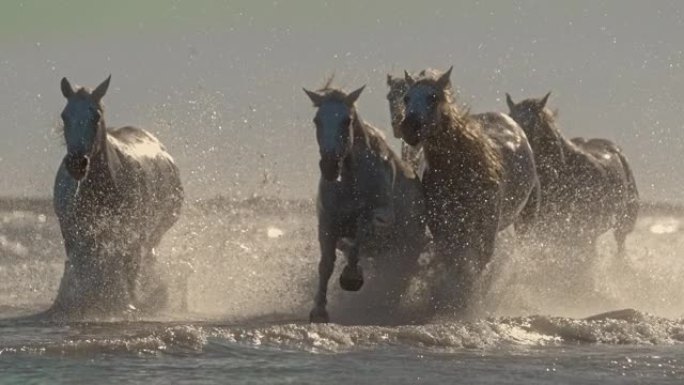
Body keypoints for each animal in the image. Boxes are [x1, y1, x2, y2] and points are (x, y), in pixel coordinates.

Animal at [49, 76, 183, 318]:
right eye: (65, 115)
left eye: (96, 116)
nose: (77, 163)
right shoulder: (74, 234)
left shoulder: (132, 235)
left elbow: (129, 272)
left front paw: (127, 305)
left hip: (153, 234)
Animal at [304, 83, 428, 320]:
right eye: (317, 120)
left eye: (347, 120)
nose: (330, 166)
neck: (352, 181)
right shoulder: (326, 224)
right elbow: (326, 265)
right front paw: (319, 310)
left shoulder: (381, 217)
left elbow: (361, 233)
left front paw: (351, 277)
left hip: (408, 250)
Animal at [396, 67, 540, 308]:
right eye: (407, 98)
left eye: (433, 97)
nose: (409, 127)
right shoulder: (444, 227)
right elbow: (453, 261)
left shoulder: (485, 230)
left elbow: (474, 265)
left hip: (523, 220)